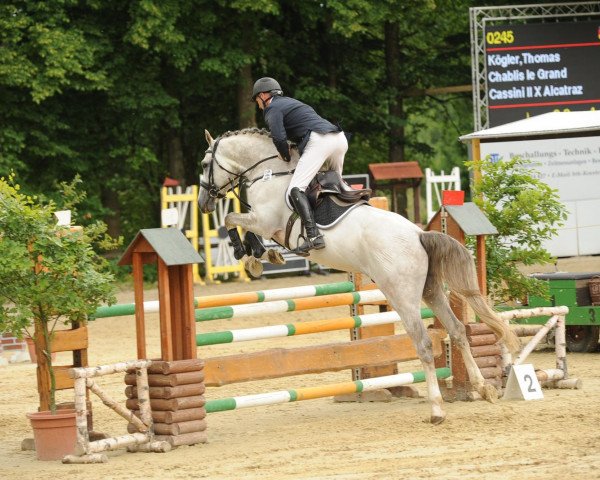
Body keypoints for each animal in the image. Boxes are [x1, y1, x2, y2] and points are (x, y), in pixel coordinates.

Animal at [198, 126, 520, 424]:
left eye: (204, 164)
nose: (203, 203)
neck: (269, 173)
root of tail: (418, 234)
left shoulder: (266, 222)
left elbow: (232, 220)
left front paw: (249, 256)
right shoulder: (265, 225)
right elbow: (242, 227)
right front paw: (261, 257)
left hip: (401, 295)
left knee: (424, 343)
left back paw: (437, 409)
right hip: (431, 290)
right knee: (457, 331)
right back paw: (483, 388)